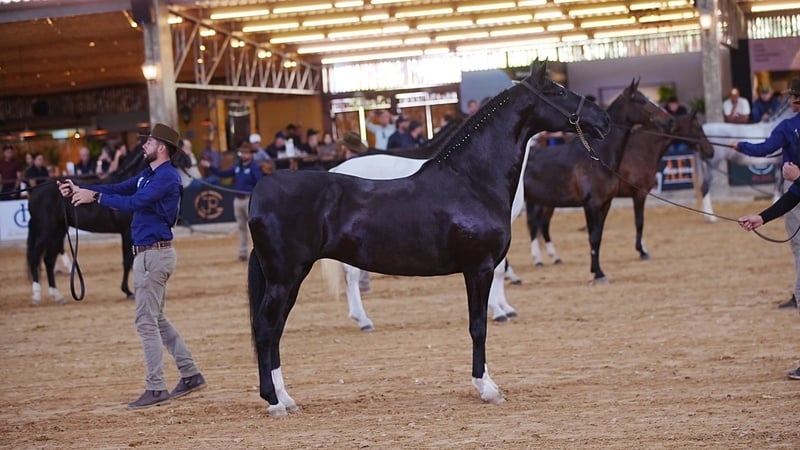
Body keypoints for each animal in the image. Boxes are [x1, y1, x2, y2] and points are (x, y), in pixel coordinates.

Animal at [26, 153, 148, 304]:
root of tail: (34, 194)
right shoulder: (127, 232)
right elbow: (128, 261)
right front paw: (128, 292)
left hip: (58, 232)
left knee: (48, 260)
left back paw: (57, 296)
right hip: (46, 231)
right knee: (35, 257)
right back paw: (36, 295)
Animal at [329, 117, 523, 330]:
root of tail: (337, 169)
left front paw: (505, 307)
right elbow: (498, 270)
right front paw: (499, 311)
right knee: (351, 274)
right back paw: (363, 320)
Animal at [524, 79, 673, 282]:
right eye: (641, 100)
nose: (669, 120)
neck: (598, 157)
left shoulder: (605, 204)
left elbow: (599, 236)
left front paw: (597, 270)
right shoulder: (591, 205)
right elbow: (592, 237)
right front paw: (598, 274)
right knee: (533, 227)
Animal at [528, 111, 715, 267]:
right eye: (698, 127)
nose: (710, 151)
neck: (641, 151)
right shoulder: (639, 194)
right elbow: (639, 222)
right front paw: (642, 251)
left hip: (547, 203)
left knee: (542, 226)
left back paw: (553, 257)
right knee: (535, 225)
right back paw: (539, 260)